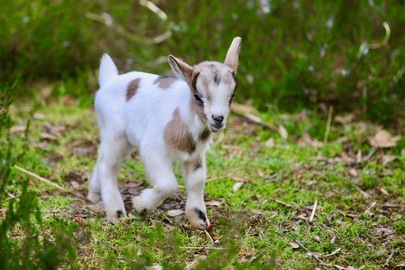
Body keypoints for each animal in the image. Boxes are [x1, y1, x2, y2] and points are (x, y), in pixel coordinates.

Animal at [88, 36, 240, 230]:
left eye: (232, 95)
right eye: (197, 96)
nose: (218, 119)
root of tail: (109, 80)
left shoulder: (196, 154)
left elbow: (197, 180)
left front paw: (199, 219)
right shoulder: (153, 148)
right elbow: (169, 184)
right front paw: (141, 206)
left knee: (101, 160)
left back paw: (94, 194)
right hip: (114, 134)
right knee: (107, 166)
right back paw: (116, 212)